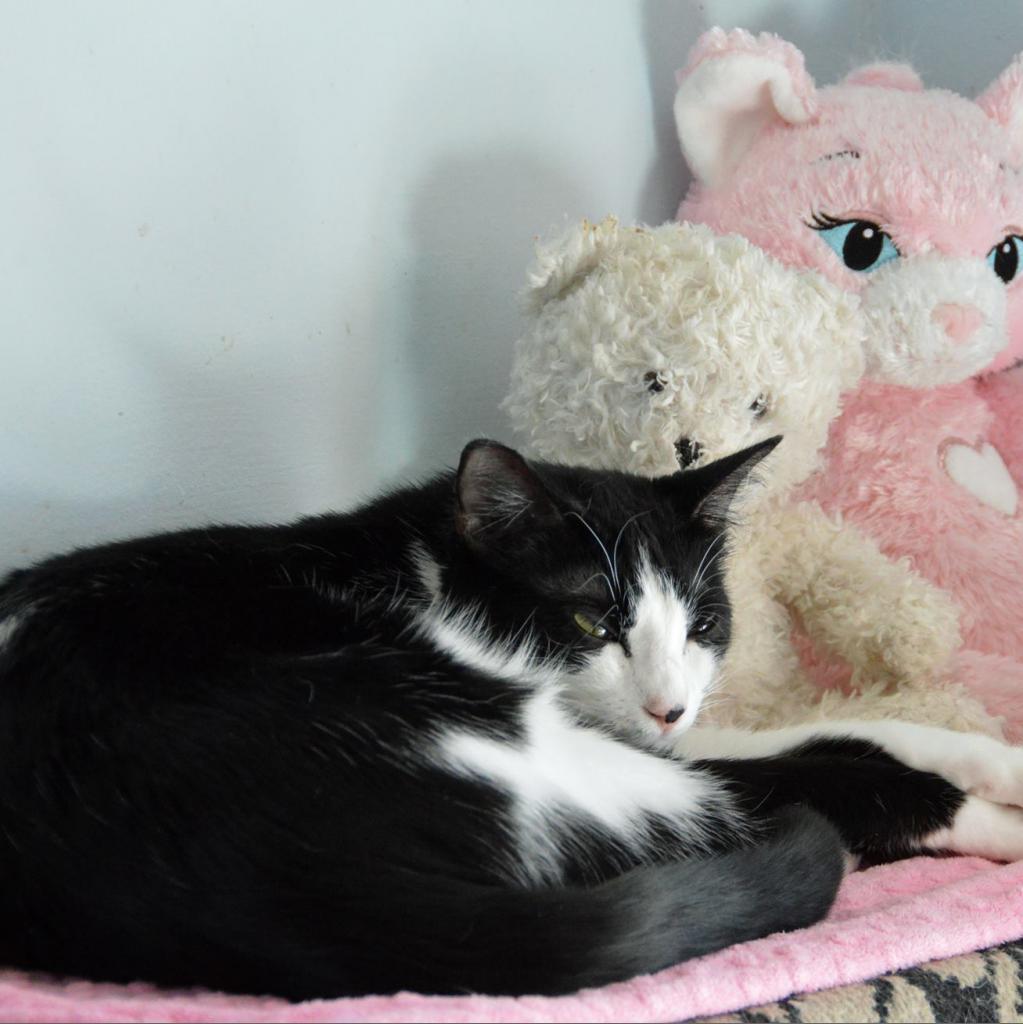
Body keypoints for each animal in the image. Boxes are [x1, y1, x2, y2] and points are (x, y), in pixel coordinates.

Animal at [2, 440, 1023, 999]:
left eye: (701, 624)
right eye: (590, 623)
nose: (667, 703)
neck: (423, 560)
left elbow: (820, 728)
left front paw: (997, 759)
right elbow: (819, 760)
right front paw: (989, 813)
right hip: (476, 726)